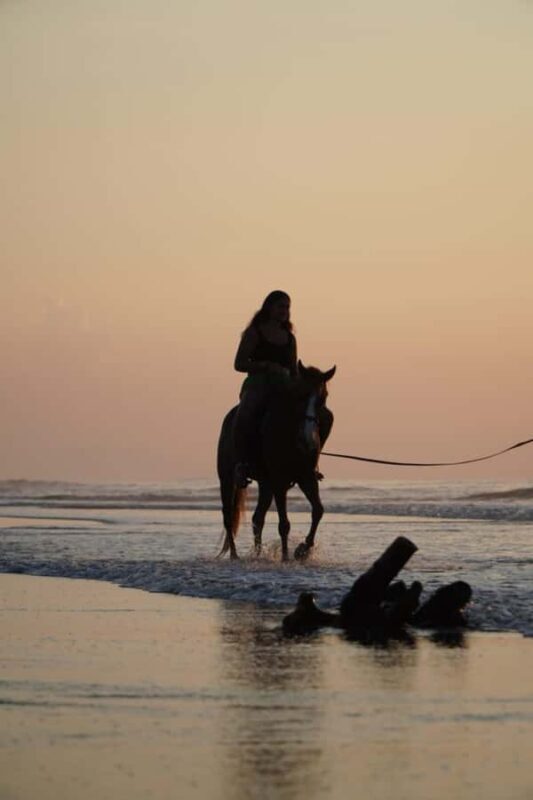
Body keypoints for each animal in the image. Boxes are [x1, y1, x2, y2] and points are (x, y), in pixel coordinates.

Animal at [217, 361, 336, 561]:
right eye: (301, 395)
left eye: (323, 397)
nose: (309, 441)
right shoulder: (279, 481)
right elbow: (284, 524)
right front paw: (286, 557)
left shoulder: (306, 478)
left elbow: (318, 510)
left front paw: (302, 550)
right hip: (227, 479)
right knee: (228, 516)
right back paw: (234, 555)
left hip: (266, 484)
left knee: (257, 518)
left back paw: (257, 554)